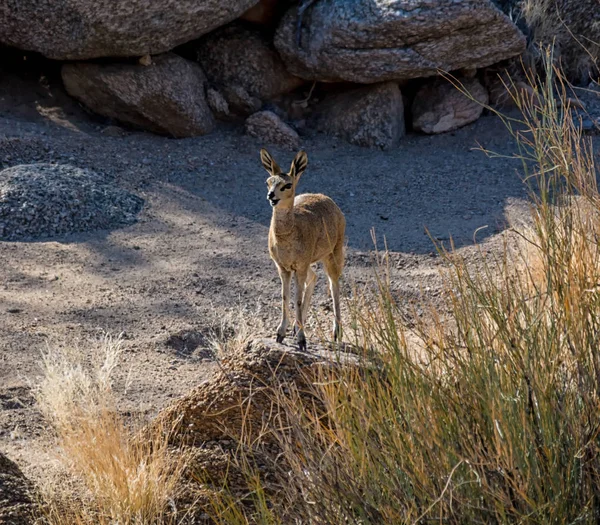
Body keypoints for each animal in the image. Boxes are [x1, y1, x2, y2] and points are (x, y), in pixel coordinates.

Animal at [258, 149, 346, 350]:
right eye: (268, 181)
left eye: (287, 184)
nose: (271, 196)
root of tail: (329, 200)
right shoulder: (284, 267)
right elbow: (285, 297)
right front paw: (281, 333)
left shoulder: (300, 266)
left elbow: (296, 299)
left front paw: (301, 340)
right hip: (310, 264)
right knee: (315, 277)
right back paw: (297, 327)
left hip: (333, 254)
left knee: (334, 285)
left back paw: (336, 333)